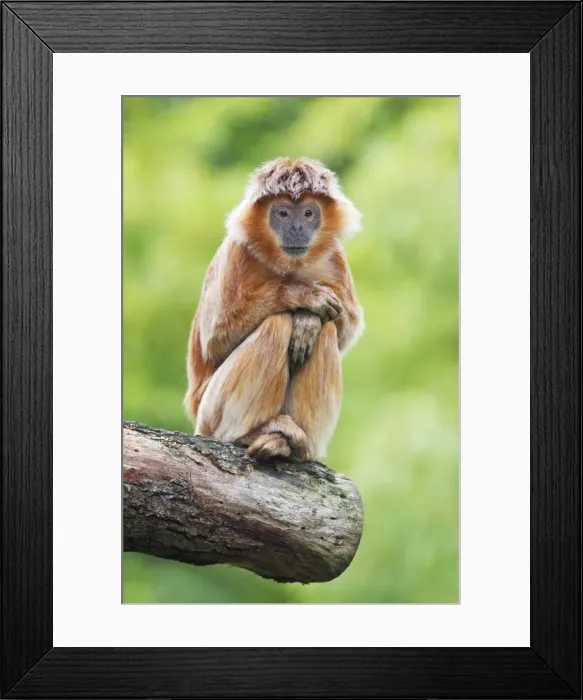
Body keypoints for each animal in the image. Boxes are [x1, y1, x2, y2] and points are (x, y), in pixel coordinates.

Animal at [184, 157, 364, 461]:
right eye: (282, 213)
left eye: (308, 213)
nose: (297, 229)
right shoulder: (236, 252)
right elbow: (215, 340)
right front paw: (302, 296)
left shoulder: (334, 257)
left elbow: (345, 329)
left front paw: (307, 320)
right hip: (209, 412)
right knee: (277, 324)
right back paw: (248, 434)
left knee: (326, 331)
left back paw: (296, 448)